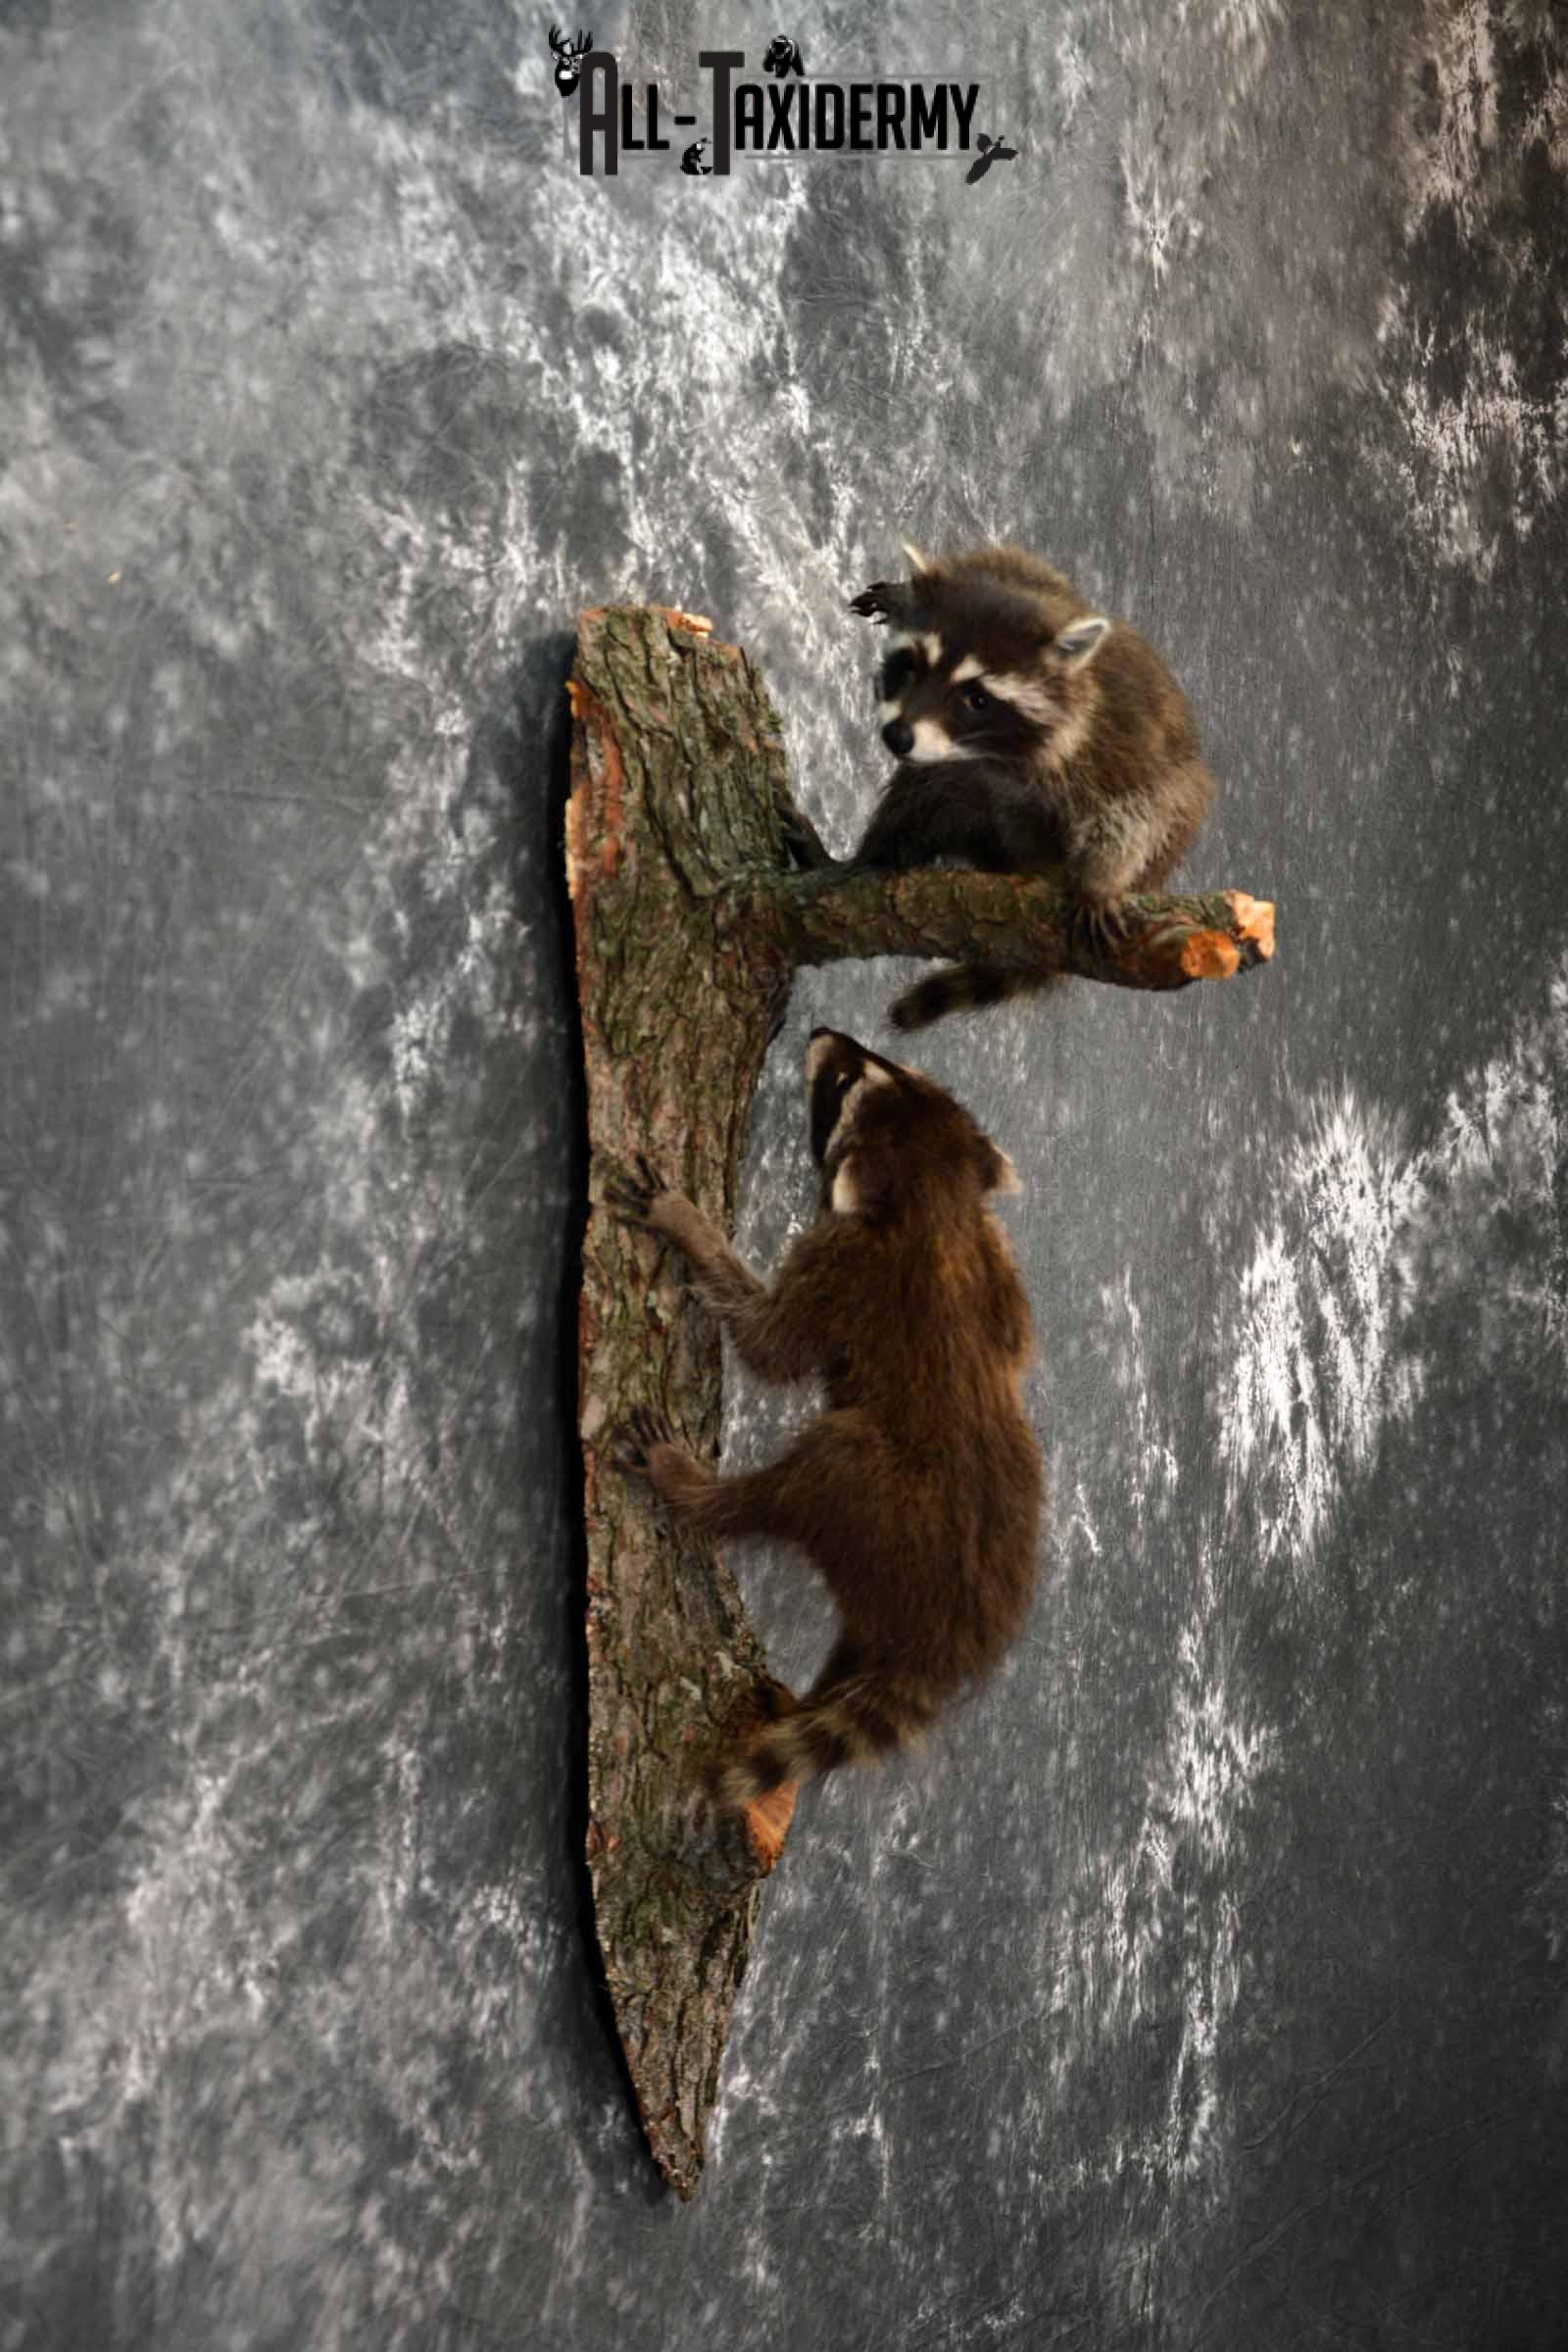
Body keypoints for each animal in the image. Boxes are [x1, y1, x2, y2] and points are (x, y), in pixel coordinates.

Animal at [608, 1029, 1042, 1816]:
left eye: (841, 1087)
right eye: (884, 1068)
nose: (819, 1033)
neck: (941, 1205)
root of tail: (949, 1641)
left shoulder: (843, 1266)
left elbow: (770, 1344)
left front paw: (689, 1227)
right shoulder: (1001, 1272)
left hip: (875, 1496)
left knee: (811, 1469)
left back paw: (693, 1489)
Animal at [848, 543, 1214, 1028]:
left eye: (977, 699)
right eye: (911, 667)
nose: (898, 736)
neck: (994, 757)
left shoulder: (1121, 738)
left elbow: (1138, 809)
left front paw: (1101, 880)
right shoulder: (1014, 569)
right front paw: (900, 591)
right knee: (929, 791)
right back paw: (883, 850)